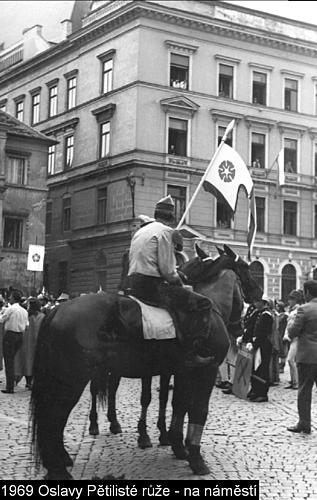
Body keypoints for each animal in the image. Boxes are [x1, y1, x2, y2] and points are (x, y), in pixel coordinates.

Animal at [30, 244, 262, 478]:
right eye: (246, 267)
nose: (259, 293)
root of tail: (57, 310)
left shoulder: (181, 371)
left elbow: (178, 404)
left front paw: (177, 445)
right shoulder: (206, 370)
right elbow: (197, 410)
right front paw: (195, 458)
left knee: (59, 417)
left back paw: (64, 457)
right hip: (72, 380)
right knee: (54, 417)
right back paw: (59, 466)